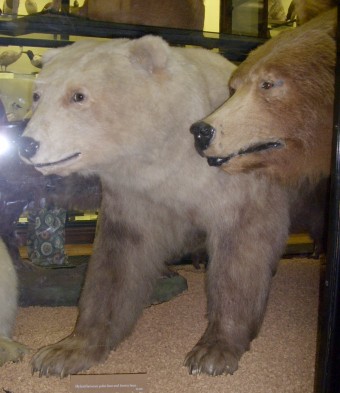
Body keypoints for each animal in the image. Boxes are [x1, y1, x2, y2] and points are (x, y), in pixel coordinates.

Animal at [18, 34, 290, 376]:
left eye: (78, 95)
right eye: (37, 94)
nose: (27, 144)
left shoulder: (234, 176)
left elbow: (241, 253)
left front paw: (212, 352)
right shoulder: (135, 197)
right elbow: (117, 264)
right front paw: (63, 352)